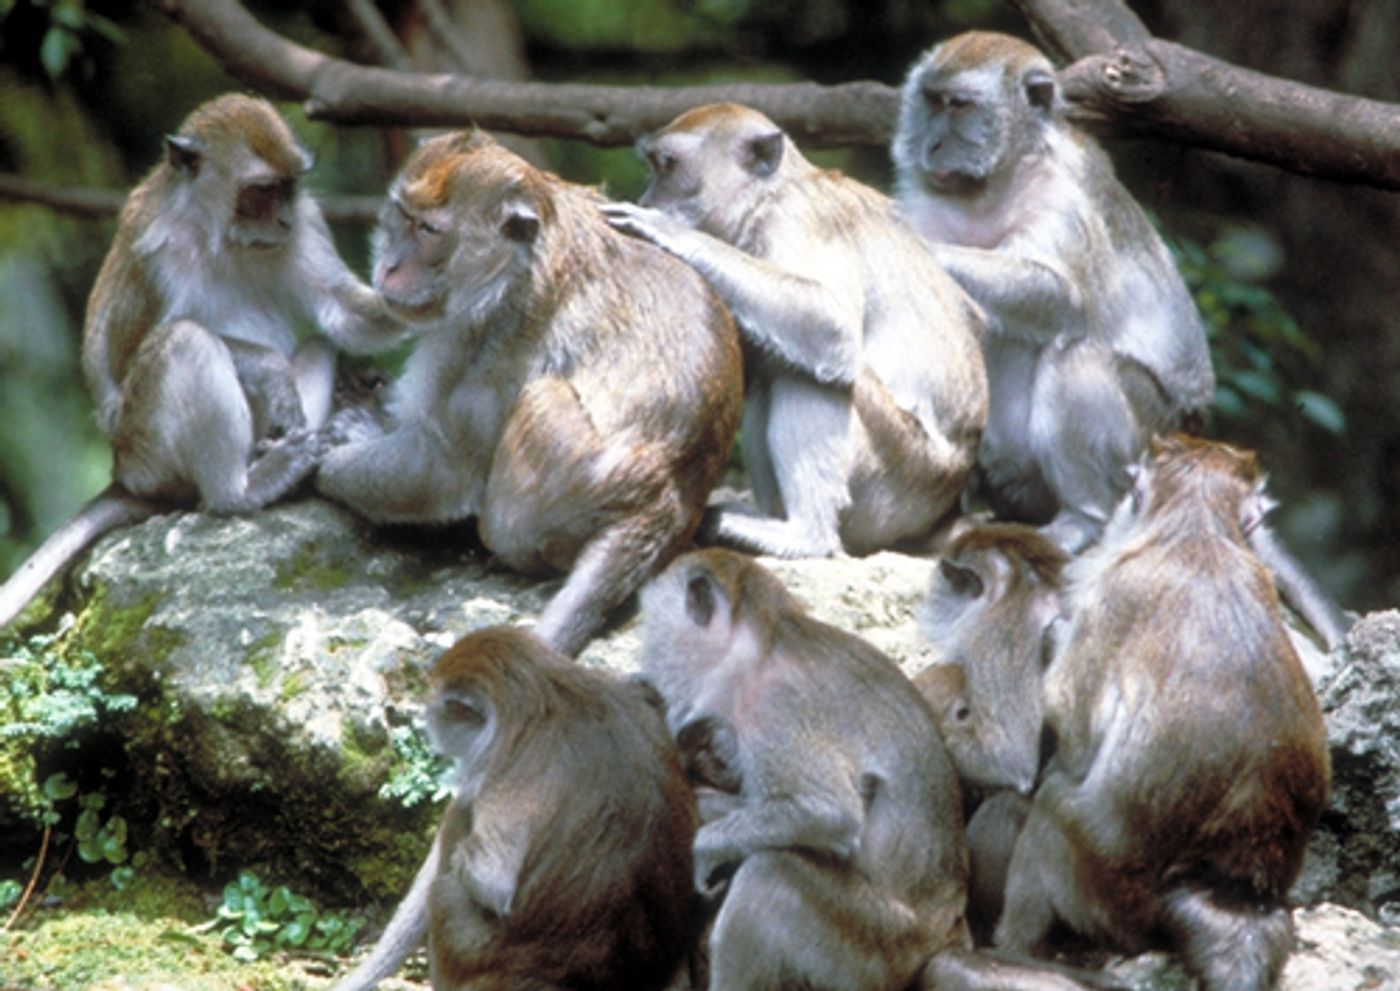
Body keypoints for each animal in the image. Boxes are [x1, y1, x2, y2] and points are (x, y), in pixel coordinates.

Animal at [1, 95, 406, 627]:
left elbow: (343, 311)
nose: (283, 222)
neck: (219, 235)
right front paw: (273, 370)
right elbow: (138, 350)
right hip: (148, 450)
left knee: (319, 346)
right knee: (187, 341)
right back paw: (240, 491)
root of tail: (122, 474)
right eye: (261, 191)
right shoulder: (154, 250)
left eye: (289, 188)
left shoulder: (309, 223)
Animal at [317, 131, 744, 657]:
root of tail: (662, 500)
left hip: (565, 480)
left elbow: (439, 470)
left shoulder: (489, 340)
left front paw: (328, 458)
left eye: (429, 229)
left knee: (539, 404)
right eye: (401, 215)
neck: (516, 265)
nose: (390, 266)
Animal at [607, 106, 991, 565]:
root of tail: (944, 514)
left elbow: (829, 321)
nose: (647, 199)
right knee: (773, 371)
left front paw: (670, 231)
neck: (768, 197)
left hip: (900, 479)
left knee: (813, 374)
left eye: (667, 165)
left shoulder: (795, 220)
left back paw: (805, 537)